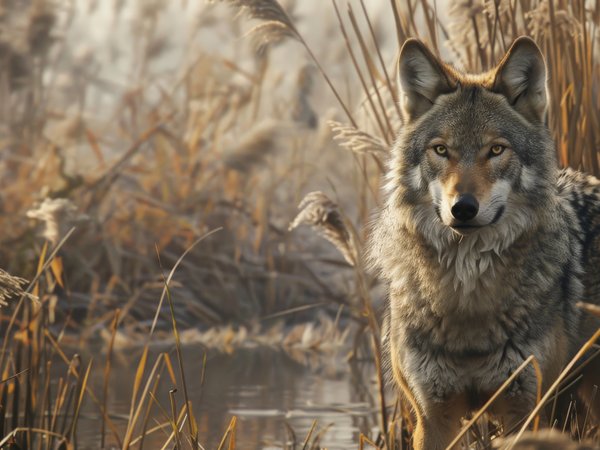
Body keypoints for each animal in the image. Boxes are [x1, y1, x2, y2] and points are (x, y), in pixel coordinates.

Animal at [368, 36, 600, 450]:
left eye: (496, 150)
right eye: (441, 150)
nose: (463, 208)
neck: (468, 296)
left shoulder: (524, 412)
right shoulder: (432, 417)